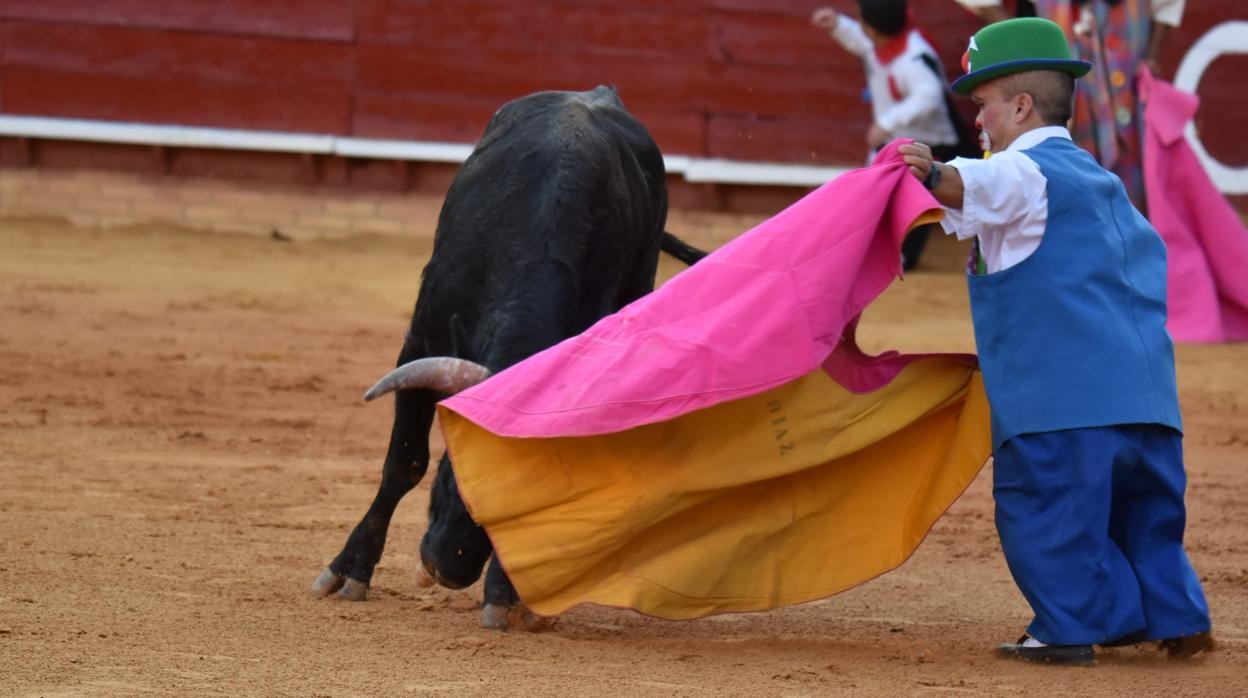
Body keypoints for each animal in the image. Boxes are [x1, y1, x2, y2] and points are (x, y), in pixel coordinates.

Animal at [308, 86, 708, 629]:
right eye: (455, 471)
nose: (449, 569)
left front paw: (504, 593)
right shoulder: (421, 341)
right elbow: (403, 464)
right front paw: (349, 572)